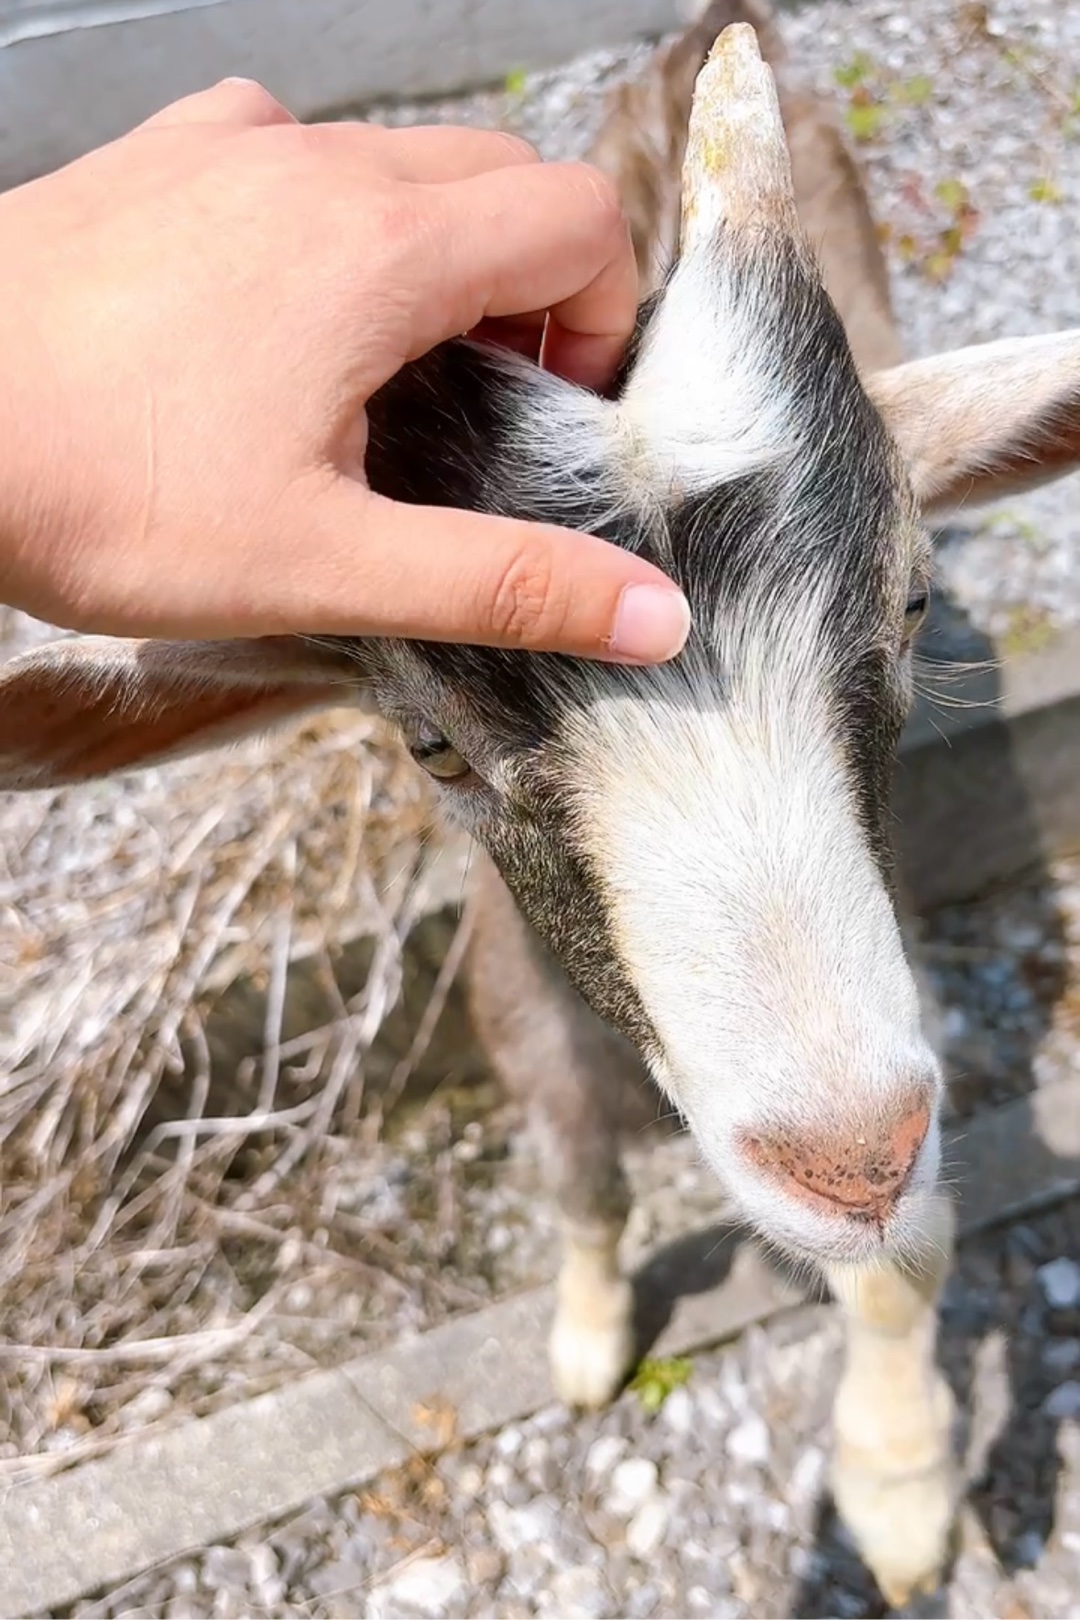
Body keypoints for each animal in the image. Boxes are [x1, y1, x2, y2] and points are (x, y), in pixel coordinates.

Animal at [4, 6, 1080, 1604]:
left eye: (910, 602)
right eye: (432, 747)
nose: (851, 1159)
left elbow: (905, 1267)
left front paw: (898, 1489)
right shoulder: (513, 996)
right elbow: (576, 1177)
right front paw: (582, 1343)